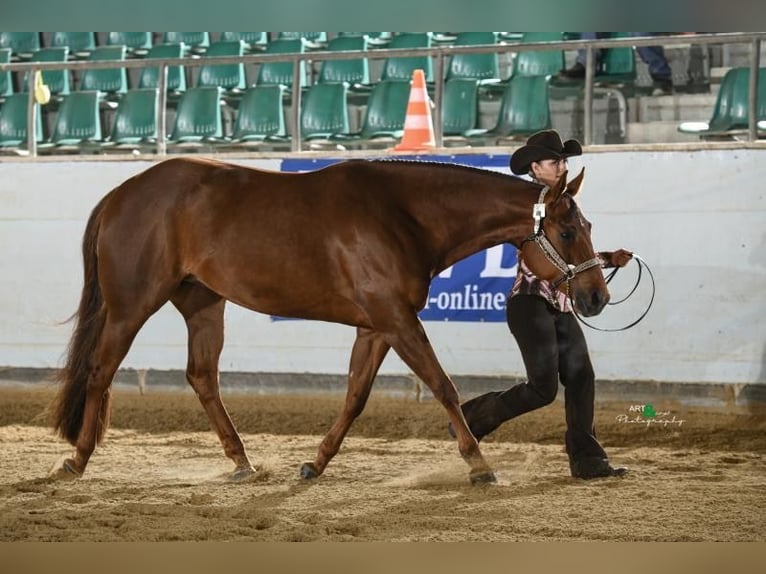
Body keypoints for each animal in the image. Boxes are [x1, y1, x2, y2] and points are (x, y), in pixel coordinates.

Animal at [49, 156, 609, 485]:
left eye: (587, 225)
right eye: (565, 232)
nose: (596, 295)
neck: (401, 214)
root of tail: (121, 194)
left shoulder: (377, 326)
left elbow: (356, 396)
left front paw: (314, 464)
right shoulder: (396, 319)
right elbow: (442, 386)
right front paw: (479, 464)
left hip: (203, 303)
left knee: (202, 377)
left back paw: (242, 462)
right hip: (132, 304)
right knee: (100, 372)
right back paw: (76, 460)